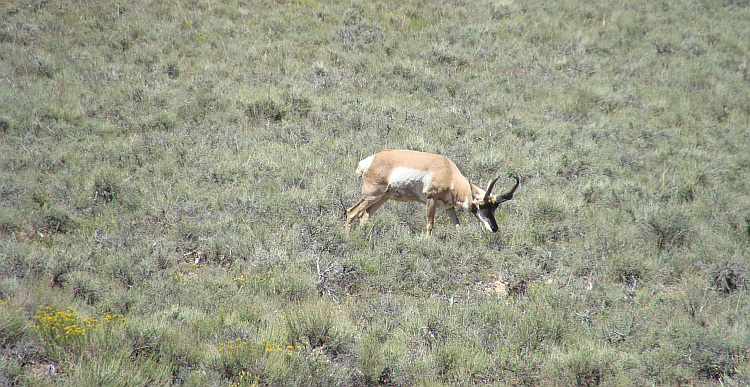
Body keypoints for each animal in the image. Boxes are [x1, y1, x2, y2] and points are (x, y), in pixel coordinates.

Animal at [346, 151, 516, 236]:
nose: (494, 228)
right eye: (481, 205)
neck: (448, 172)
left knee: (364, 216)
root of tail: (371, 160)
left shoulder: (448, 207)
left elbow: (457, 225)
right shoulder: (431, 200)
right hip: (371, 196)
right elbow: (430, 225)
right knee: (351, 212)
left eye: (495, 207)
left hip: (383, 198)